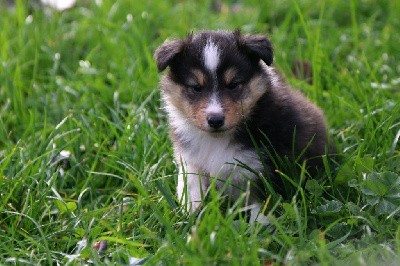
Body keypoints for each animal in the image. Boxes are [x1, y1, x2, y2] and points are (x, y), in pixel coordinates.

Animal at [153, 30, 332, 222]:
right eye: (196, 87)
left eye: (233, 85)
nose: (215, 120)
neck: (216, 139)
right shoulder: (191, 159)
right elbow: (190, 184)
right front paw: (190, 213)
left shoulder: (263, 169)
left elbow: (260, 204)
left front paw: (258, 226)